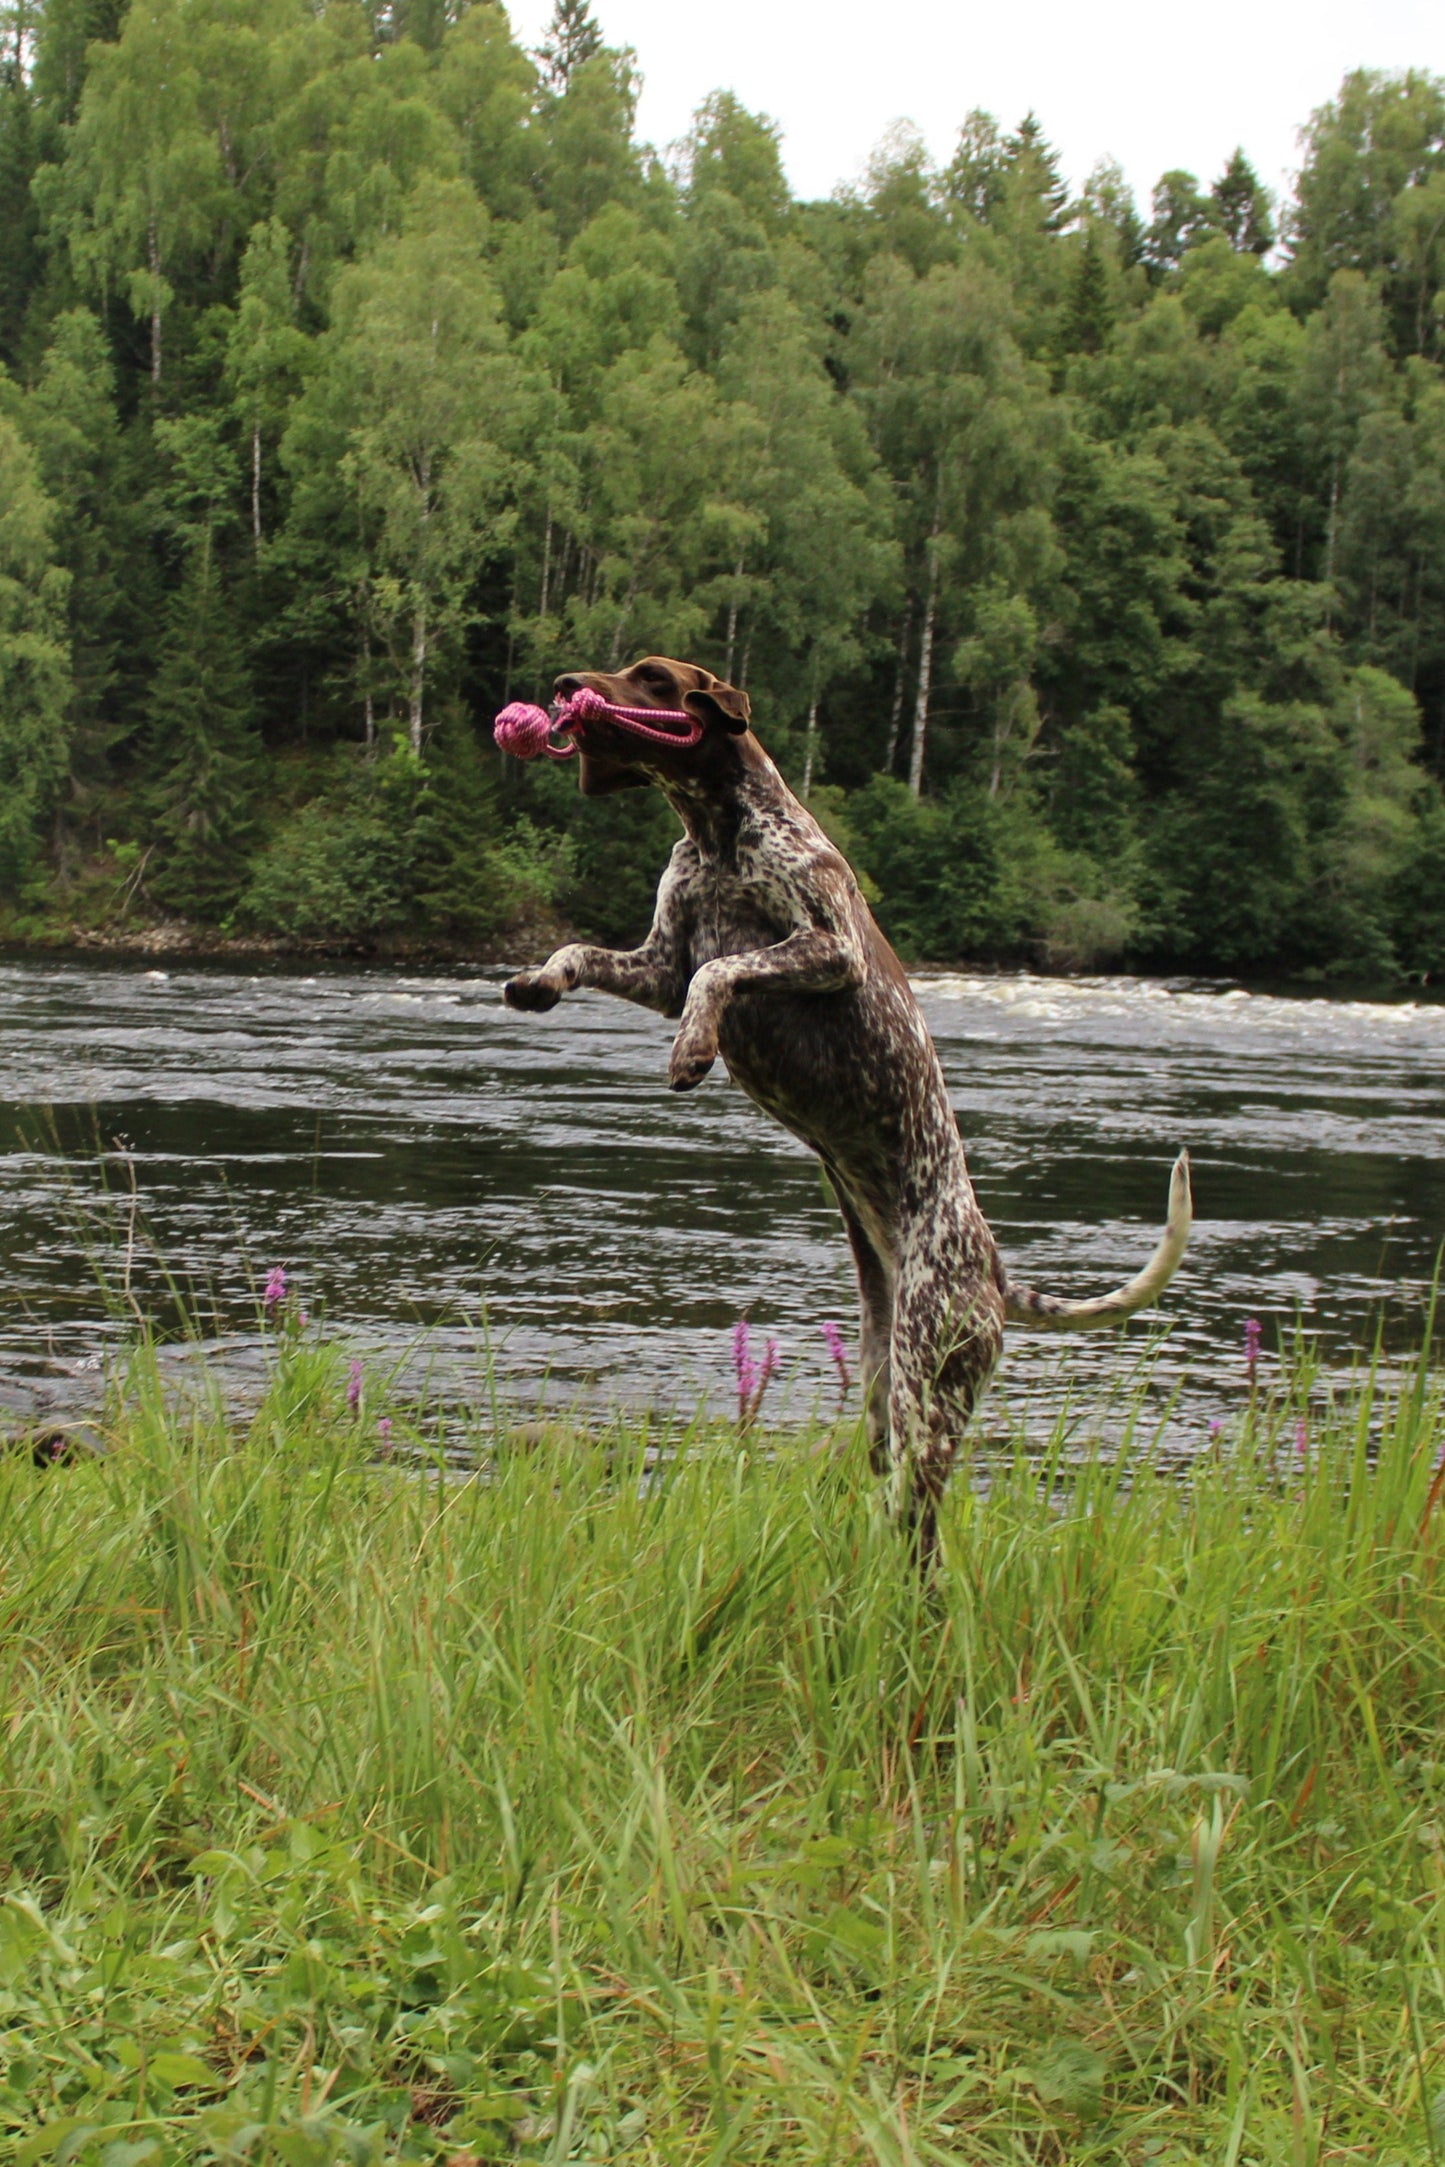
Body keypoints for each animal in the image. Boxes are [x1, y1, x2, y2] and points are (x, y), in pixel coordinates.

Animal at [502, 650, 1195, 1551]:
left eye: (650, 675)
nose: (560, 686)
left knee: (922, 1528)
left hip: (928, 1387)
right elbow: (584, 950)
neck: (716, 834)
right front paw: (538, 981)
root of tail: (992, 1271)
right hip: (882, 1394)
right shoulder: (657, 966)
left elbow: (719, 971)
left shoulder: (827, 951)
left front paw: (693, 1048)